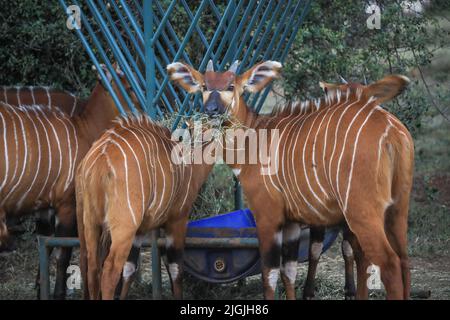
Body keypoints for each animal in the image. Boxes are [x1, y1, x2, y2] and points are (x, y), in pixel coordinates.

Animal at [0, 63, 134, 298]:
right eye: (128, 87)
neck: (83, 129)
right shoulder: (68, 205)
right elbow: (64, 254)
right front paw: (58, 293)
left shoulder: (45, 207)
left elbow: (46, 246)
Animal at [77, 79, 221, 298]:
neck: (189, 166)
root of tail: (99, 161)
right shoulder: (177, 220)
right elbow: (175, 268)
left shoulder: (140, 232)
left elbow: (130, 269)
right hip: (123, 227)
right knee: (109, 271)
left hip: (92, 223)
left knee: (92, 267)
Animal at [169, 60, 414, 300]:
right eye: (204, 86)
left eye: (231, 86)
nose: (210, 111)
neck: (255, 137)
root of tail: (391, 131)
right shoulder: (292, 222)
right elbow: (289, 271)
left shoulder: (268, 216)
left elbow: (269, 275)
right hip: (397, 210)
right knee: (403, 259)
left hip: (362, 213)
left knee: (389, 263)